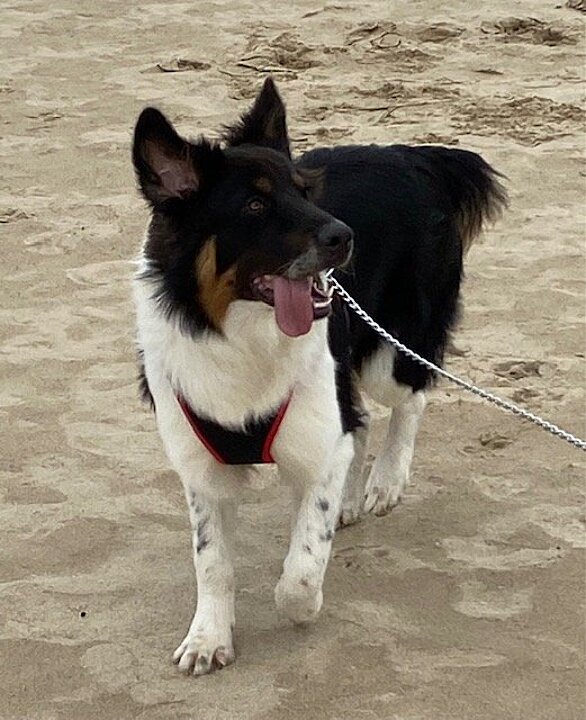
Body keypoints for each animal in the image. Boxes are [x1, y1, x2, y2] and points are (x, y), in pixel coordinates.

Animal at [132, 78, 506, 675]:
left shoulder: (319, 442)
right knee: (363, 421)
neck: (242, 334)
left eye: (304, 191)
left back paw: (385, 482)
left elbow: (302, 567)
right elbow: (212, 561)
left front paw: (301, 606)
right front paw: (208, 636)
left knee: (409, 397)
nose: (344, 237)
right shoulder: (202, 469)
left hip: (387, 351)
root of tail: (407, 155)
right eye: (255, 203)